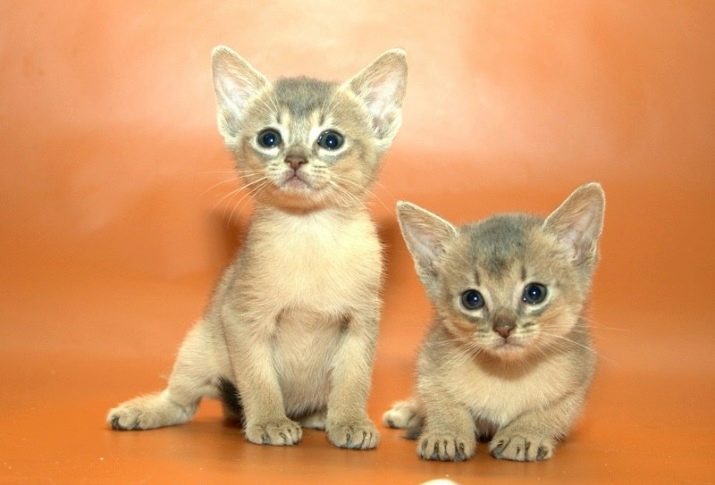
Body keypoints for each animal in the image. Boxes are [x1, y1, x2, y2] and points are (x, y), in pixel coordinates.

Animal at [107, 45, 407, 450]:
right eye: (269, 138)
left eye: (331, 140)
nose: (295, 158)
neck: (309, 235)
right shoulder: (242, 318)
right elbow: (259, 379)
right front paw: (268, 421)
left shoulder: (361, 323)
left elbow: (353, 381)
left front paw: (350, 420)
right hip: (196, 350)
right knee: (181, 404)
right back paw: (142, 412)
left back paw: (320, 416)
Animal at [383, 183, 605, 461]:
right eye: (472, 299)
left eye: (535, 293)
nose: (504, 328)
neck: (506, 375)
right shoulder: (430, 365)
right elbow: (442, 400)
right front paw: (447, 433)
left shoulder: (577, 380)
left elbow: (550, 412)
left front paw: (523, 435)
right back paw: (409, 412)